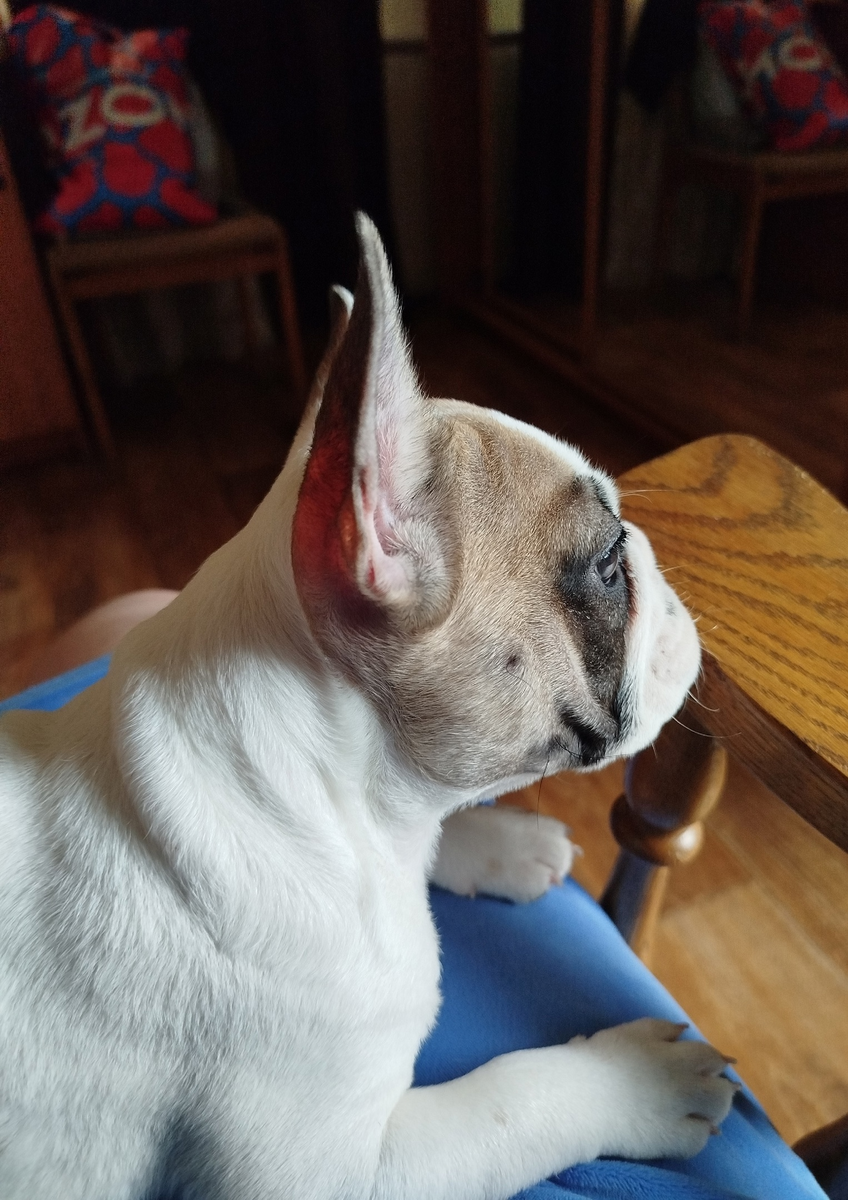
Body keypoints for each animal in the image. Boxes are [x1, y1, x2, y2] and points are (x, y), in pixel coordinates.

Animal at [0, 215, 735, 1200]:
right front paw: (634, 1078)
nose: (656, 562)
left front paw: (497, 844)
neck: (340, 806)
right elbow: (513, 1097)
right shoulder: (335, 1170)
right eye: (612, 566)